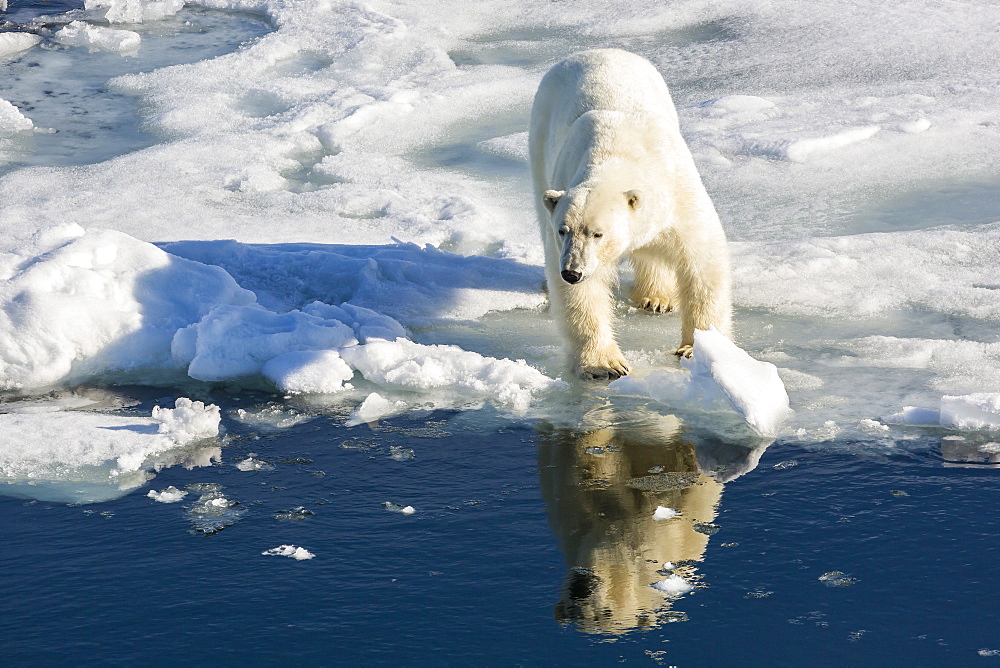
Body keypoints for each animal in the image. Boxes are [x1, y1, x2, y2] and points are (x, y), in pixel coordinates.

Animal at [528, 48, 732, 376]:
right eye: (563, 230)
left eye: (598, 233)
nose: (571, 272)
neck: (617, 155)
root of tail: (596, 51)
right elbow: (584, 295)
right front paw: (605, 364)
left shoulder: (678, 193)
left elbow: (701, 262)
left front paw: (696, 348)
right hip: (540, 137)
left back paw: (657, 297)